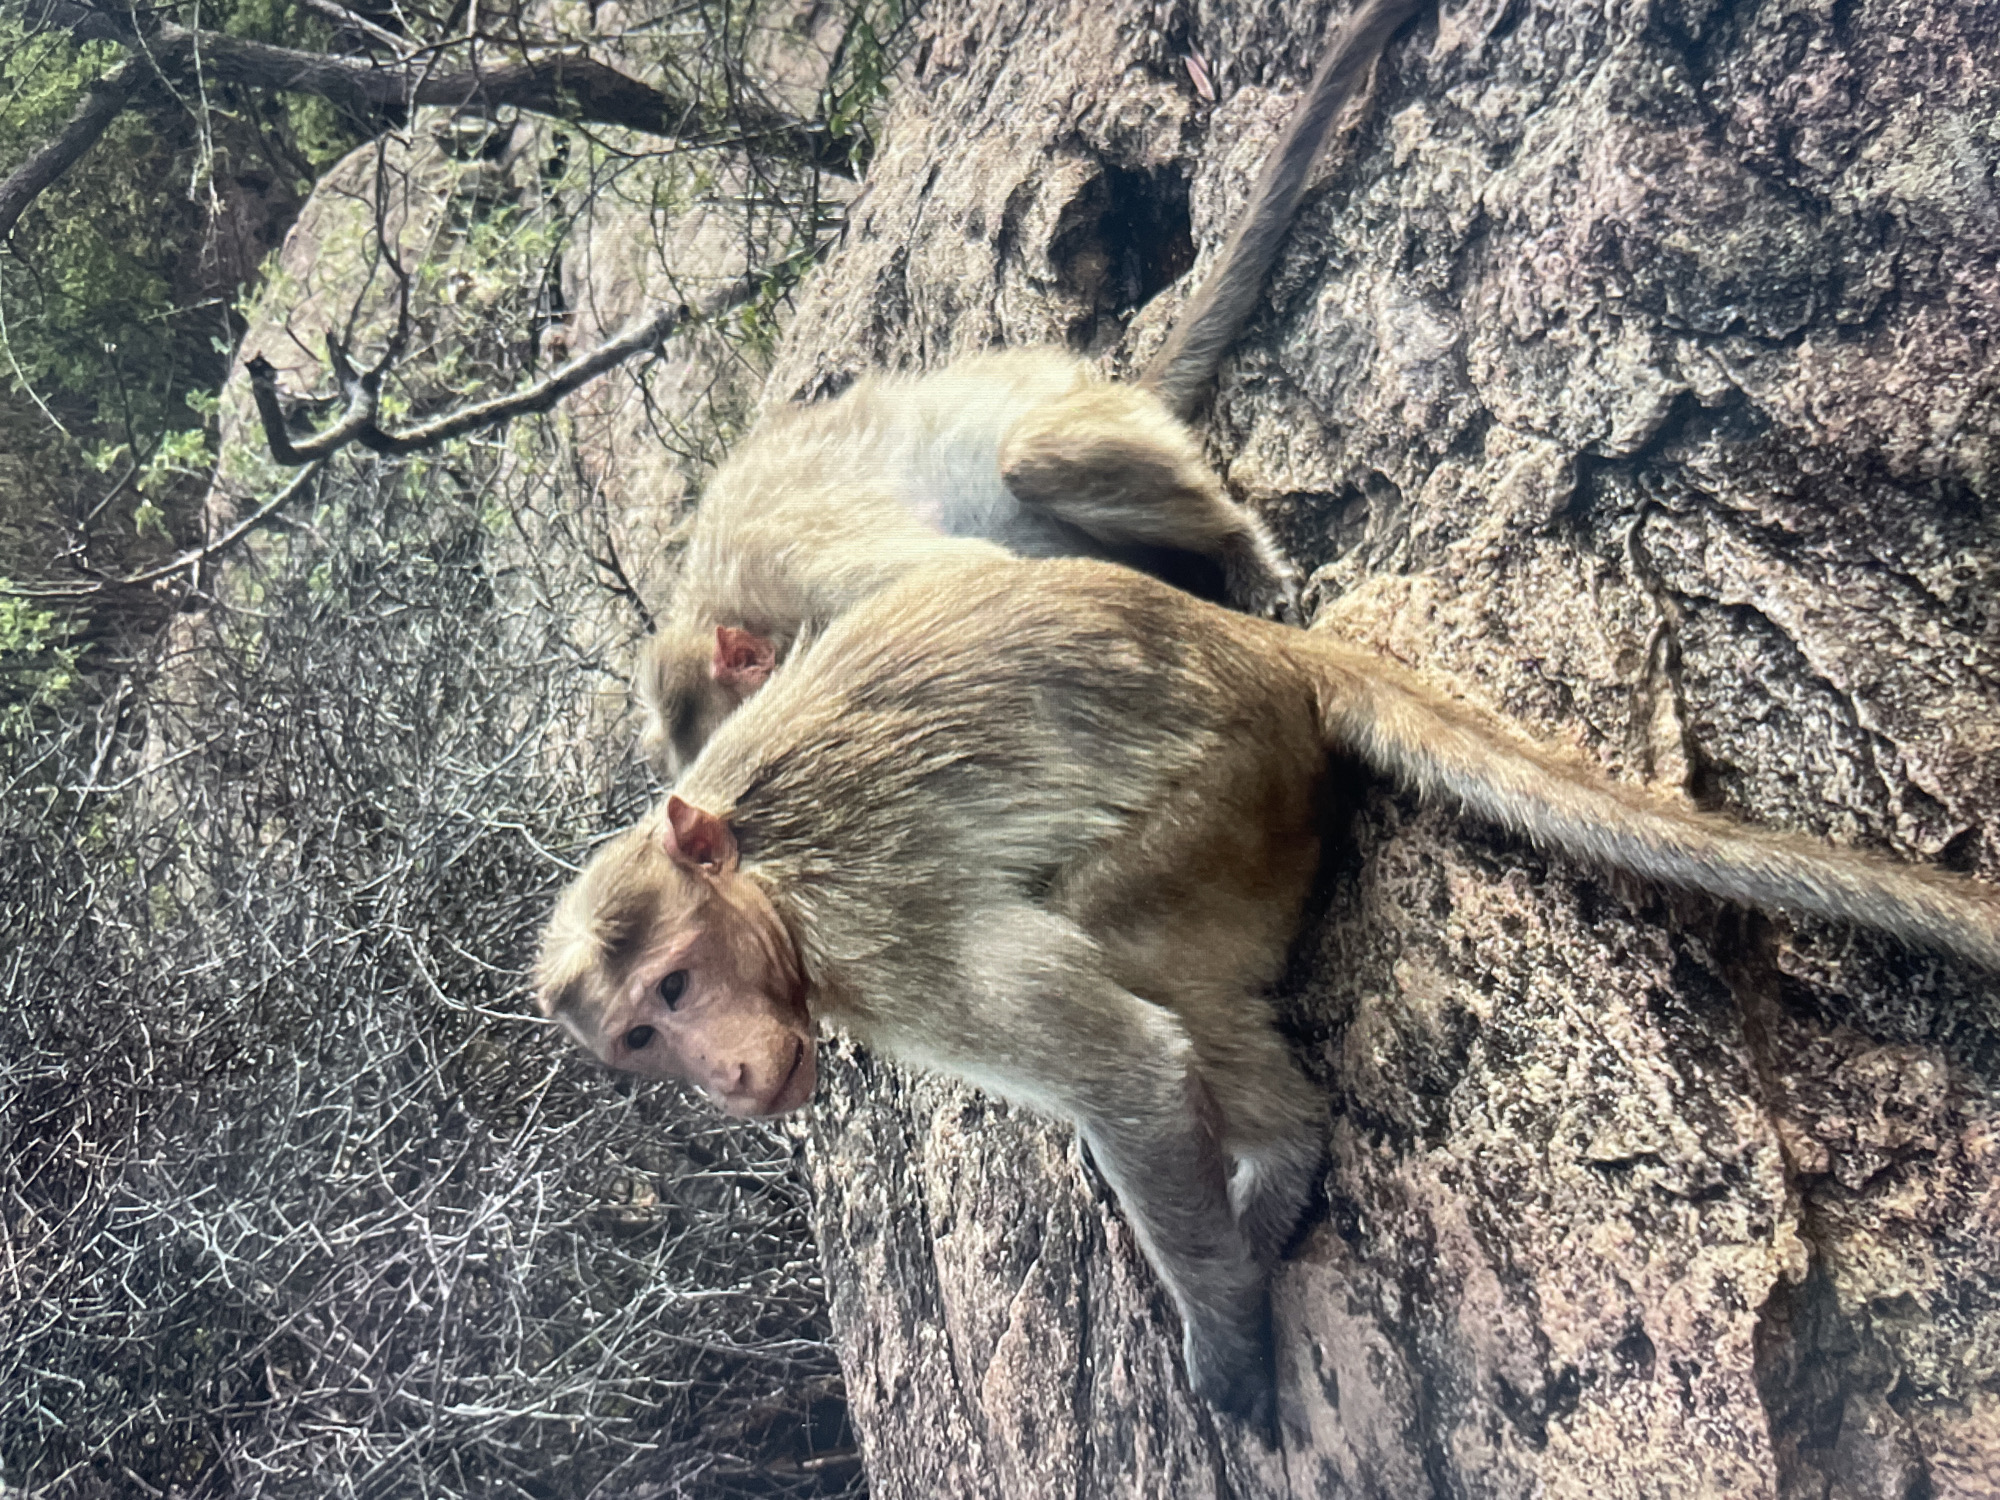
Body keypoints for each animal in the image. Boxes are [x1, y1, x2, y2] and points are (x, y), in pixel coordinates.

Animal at [538, 556, 2000, 1419]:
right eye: (638, 1034)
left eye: (678, 983)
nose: (723, 1077)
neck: (767, 883)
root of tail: (1261, 648)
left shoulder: (882, 950)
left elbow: (1123, 1065)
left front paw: (1228, 1341)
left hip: (1229, 791)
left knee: (1125, 952)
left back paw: (1280, 1156)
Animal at [637, 0, 1429, 778]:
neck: (737, 604)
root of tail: (1109, 385)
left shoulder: (817, 579)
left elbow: (966, 576)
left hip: (1096, 416)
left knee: (1031, 457)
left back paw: (1238, 547)